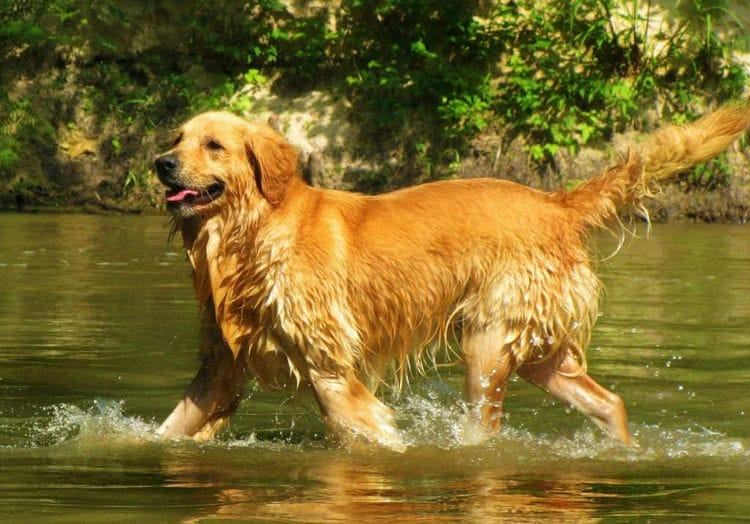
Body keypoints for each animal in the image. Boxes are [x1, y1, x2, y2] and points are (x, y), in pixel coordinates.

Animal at [154, 103, 750, 450]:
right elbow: (166, 430)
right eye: (177, 137)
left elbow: (371, 434)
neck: (250, 235)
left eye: (213, 145)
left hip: (487, 342)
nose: (161, 163)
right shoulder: (222, 367)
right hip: (537, 351)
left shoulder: (331, 371)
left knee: (485, 431)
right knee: (610, 402)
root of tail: (556, 204)